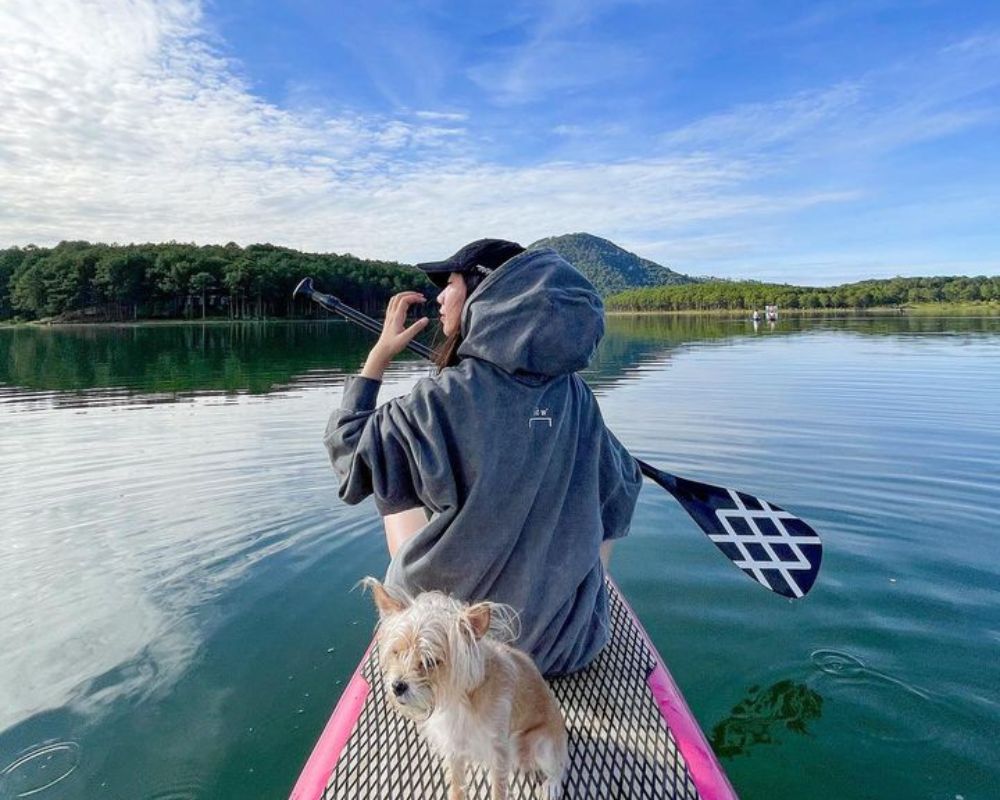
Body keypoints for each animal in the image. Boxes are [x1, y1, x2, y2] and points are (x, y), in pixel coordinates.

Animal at [366, 580, 572, 800]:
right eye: (396, 652)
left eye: (430, 662)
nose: (397, 686)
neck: (458, 700)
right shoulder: (454, 748)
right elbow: (457, 786)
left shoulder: (498, 751)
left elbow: (498, 790)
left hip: (542, 744)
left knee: (559, 767)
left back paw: (553, 784)